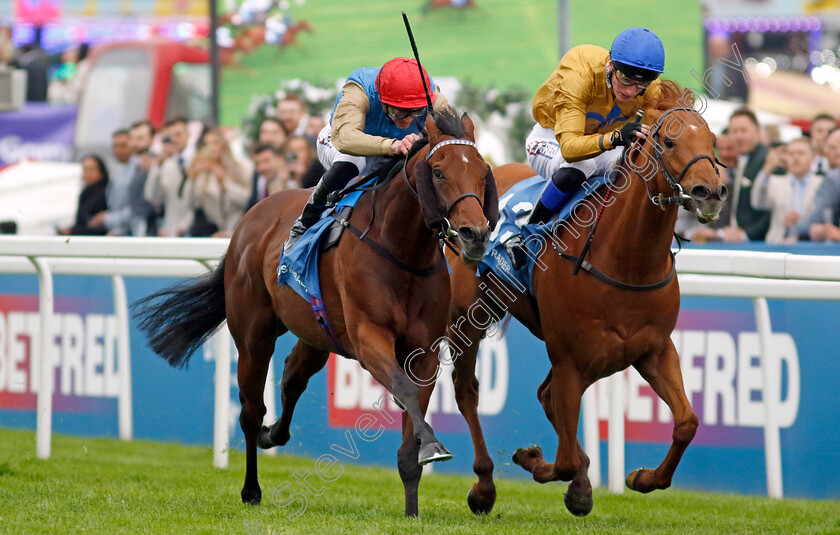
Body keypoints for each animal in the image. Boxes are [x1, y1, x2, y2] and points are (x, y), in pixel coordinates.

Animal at [135, 105, 496, 520]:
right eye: (438, 171)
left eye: (483, 171)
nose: (475, 235)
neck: (402, 251)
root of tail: (249, 217)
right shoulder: (369, 338)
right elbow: (402, 389)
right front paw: (433, 447)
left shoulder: (425, 351)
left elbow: (411, 419)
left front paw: (413, 507)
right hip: (254, 335)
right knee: (250, 410)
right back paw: (251, 488)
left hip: (317, 334)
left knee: (292, 377)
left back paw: (274, 434)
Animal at [446, 82, 728, 516]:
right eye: (668, 140)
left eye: (713, 140)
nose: (710, 192)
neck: (626, 260)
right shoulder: (570, 360)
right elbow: (562, 458)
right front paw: (537, 461)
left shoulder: (654, 350)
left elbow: (687, 422)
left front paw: (642, 478)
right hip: (468, 317)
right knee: (468, 392)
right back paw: (484, 487)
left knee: (545, 398)